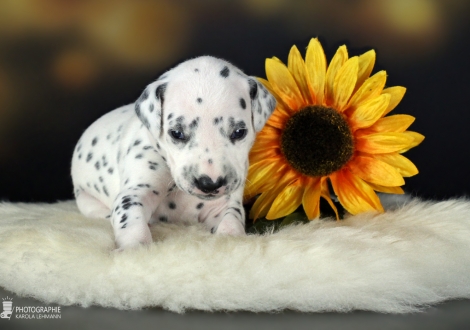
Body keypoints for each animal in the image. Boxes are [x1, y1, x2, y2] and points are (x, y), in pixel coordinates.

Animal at [70, 55, 276, 249]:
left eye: (239, 132)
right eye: (176, 133)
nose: (209, 183)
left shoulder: (223, 204)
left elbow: (231, 220)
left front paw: (232, 239)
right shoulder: (135, 193)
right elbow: (130, 219)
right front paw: (133, 247)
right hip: (86, 200)